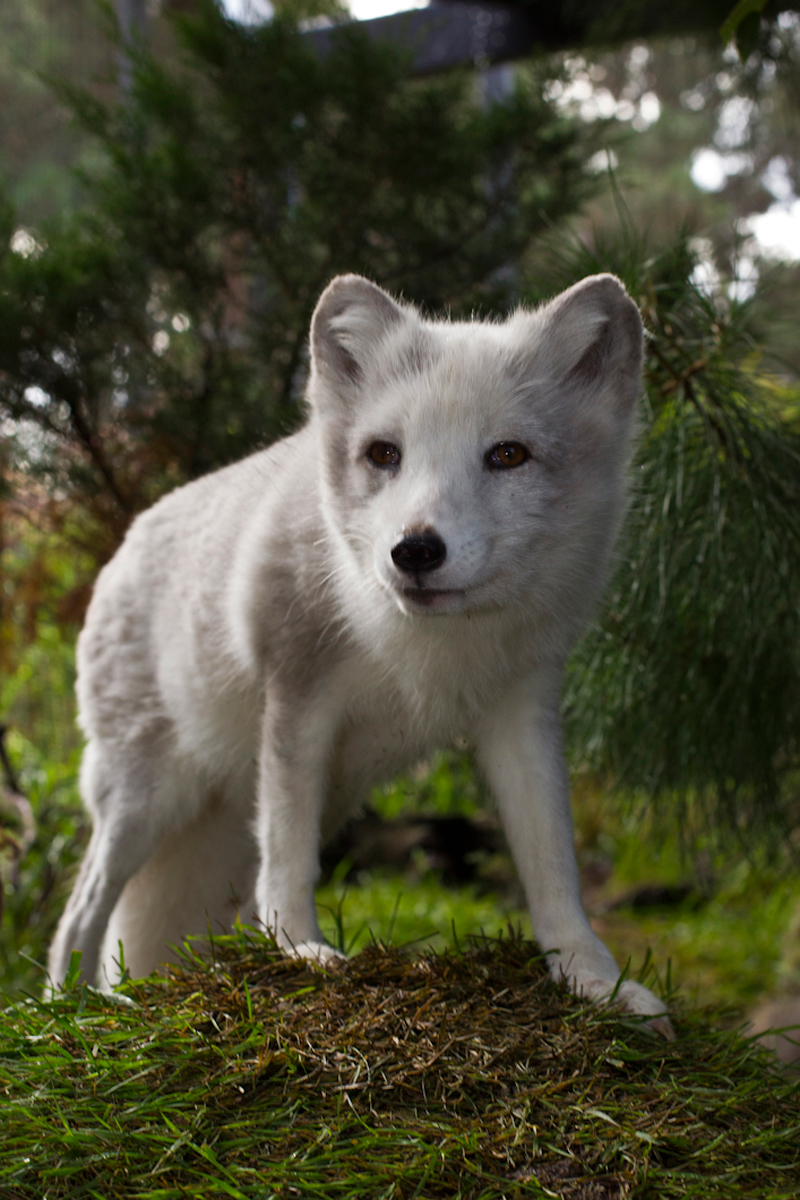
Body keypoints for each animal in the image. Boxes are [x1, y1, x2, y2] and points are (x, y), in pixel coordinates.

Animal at [48, 272, 671, 1032]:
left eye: (508, 454)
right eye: (383, 454)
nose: (415, 551)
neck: (426, 648)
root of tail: (123, 547)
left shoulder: (522, 709)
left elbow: (554, 865)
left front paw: (595, 982)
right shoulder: (297, 696)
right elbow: (289, 862)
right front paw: (303, 951)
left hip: (281, 810)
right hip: (145, 801)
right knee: (78, 916)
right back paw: (74, 1007)